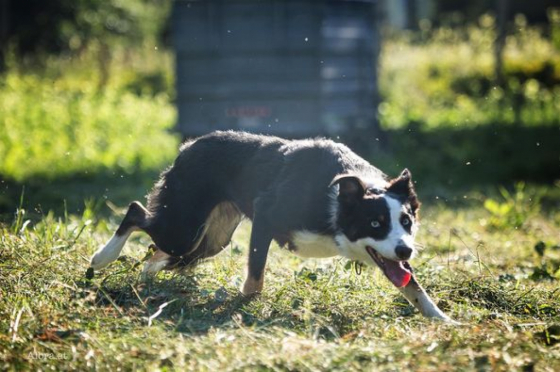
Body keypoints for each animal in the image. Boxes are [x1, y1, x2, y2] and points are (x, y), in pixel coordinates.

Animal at [88, 132, 456, 322]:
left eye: (407, 222)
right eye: (376, 223)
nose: (406, 250)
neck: (338, 200)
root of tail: (189, 146)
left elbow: (415, 288)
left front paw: (445, 321)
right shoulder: (266, 215)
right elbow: (255, 277)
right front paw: (242, 305)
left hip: (212, 237)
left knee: (157, 249)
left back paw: (145, 279)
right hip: (186, 227)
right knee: (136, 213)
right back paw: (102, 258)